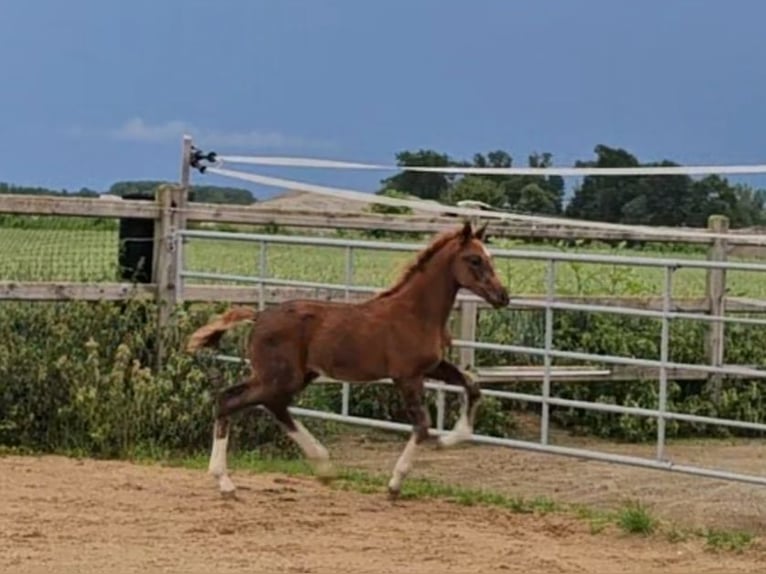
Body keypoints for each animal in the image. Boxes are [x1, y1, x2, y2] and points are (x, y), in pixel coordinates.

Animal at [186, 220, 510, 500]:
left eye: (490, 257)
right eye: (474, 259)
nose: (503, 296)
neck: (416, 313)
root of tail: (259, 315)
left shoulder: (433, 367)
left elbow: (472, 386)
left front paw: (451, 439)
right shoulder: (407, 376)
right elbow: (422, 425)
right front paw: (395, 483)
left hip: (293, 376)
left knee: (269, 404)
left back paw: (323, 466)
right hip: (279, 377)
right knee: (231, 400)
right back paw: (225, 481)